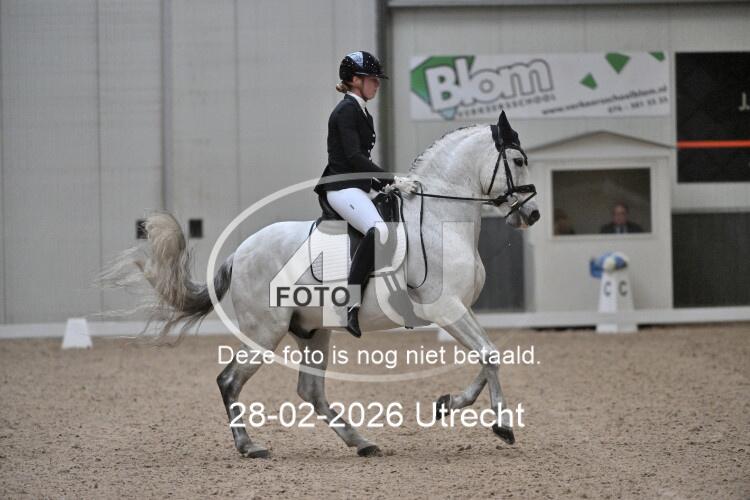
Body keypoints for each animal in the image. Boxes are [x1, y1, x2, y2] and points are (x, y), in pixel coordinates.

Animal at [99, 111, 540, 458]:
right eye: (518, 160)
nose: (532, 214)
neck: (437, 220)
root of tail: (240, 252)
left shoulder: (459, 309)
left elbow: (489, 354)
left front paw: (448, 404)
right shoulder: (444, 307)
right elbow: (489, 354)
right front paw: (502, 425)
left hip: (312, 331)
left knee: (310, 390)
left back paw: (361, 442)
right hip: (265, 331)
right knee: (230, 380)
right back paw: (250, 446)